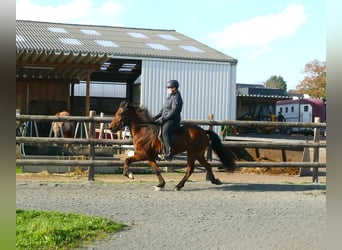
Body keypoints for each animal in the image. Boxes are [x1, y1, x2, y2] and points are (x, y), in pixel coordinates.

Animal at [108, 101, 236, 191]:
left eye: (120, 113)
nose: (111, 127)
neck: (142, 130)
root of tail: (204, 131)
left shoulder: (142, 154)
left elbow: (127, 160)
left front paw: (129, 175)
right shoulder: (149, 157)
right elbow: (156, 169)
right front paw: (160, 185)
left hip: (193, 153)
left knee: (190, 169)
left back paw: (178, 186)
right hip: (198, 154)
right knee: (207, 166)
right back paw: (215, 181)